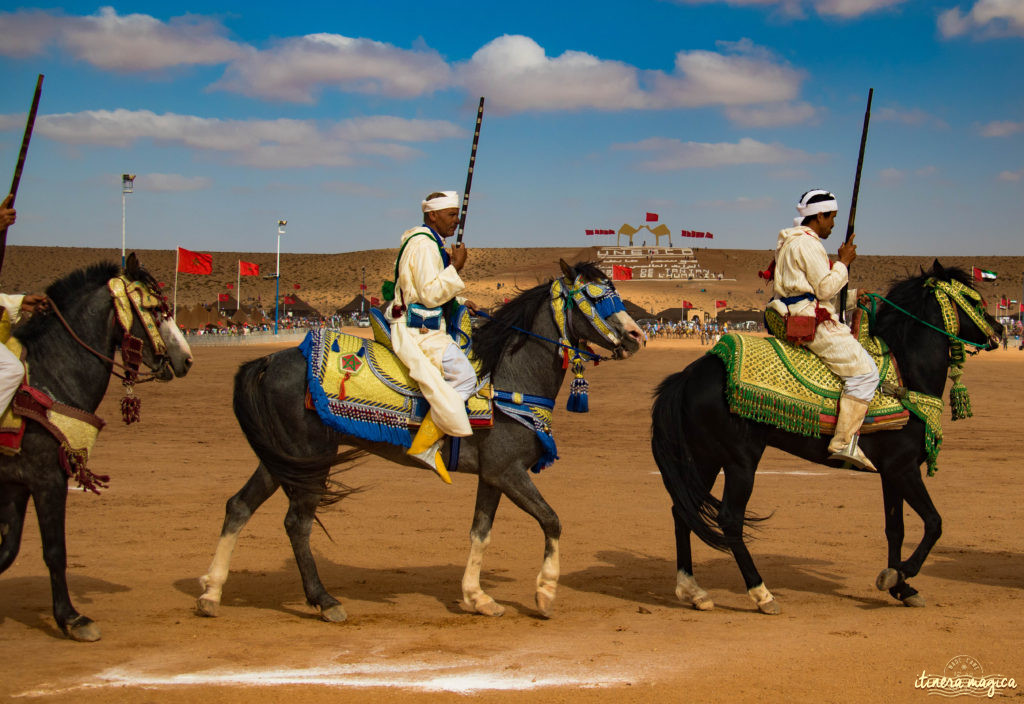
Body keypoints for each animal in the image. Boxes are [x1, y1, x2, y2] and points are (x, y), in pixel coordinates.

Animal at [0, 255, 193, 642]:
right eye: (155, 309)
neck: (51, 375)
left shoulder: (16, 483)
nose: (187, 359)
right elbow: (54, 551)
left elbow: (7, 551)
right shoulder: (47, 478)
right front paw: (72, 619)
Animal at [193, 261, 638, 622]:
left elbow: (480, 532)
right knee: (296, 524)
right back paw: (325, 601)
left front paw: (476, 597)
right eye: (594, 297)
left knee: (239, 506)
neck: (508, 375)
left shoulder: (493, 475)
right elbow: (551, 520)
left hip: (283, 458)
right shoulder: (508, 472)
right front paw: (545, 594)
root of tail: (267, 361)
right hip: (309, 458)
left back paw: (212, 592)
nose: (635, 335)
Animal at [655, 260, 999, 613]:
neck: (907, 371)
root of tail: (689, 375)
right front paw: (900, 574)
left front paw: (901, 587)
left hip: (705, 458)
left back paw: (693, 591)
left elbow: (896, 529)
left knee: (683, 510)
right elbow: (934, 522)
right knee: (729, 520)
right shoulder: (903, 469)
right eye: (973, 300)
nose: (999, 330)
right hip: (740, 462)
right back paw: (762, 593)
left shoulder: (891, 472)